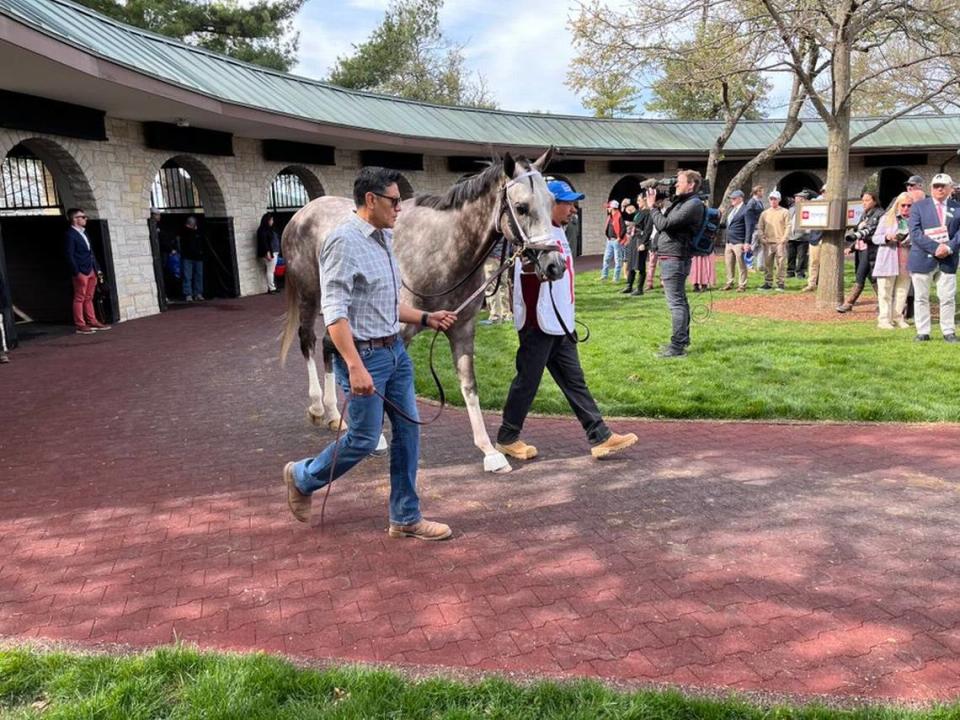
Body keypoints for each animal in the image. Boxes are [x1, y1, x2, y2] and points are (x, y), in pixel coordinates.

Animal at [278, 150, 564, 476]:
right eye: (521, 207)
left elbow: (469, 385)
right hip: (311, 294)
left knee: (329, 344)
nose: (555, 265)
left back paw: (332, 413)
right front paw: (378, 439)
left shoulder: (462, 328)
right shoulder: (398, 332)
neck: (440, 249)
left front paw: (490, 451)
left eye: (551, 203)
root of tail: (301, 213)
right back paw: (317, 406)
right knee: (308, 340)